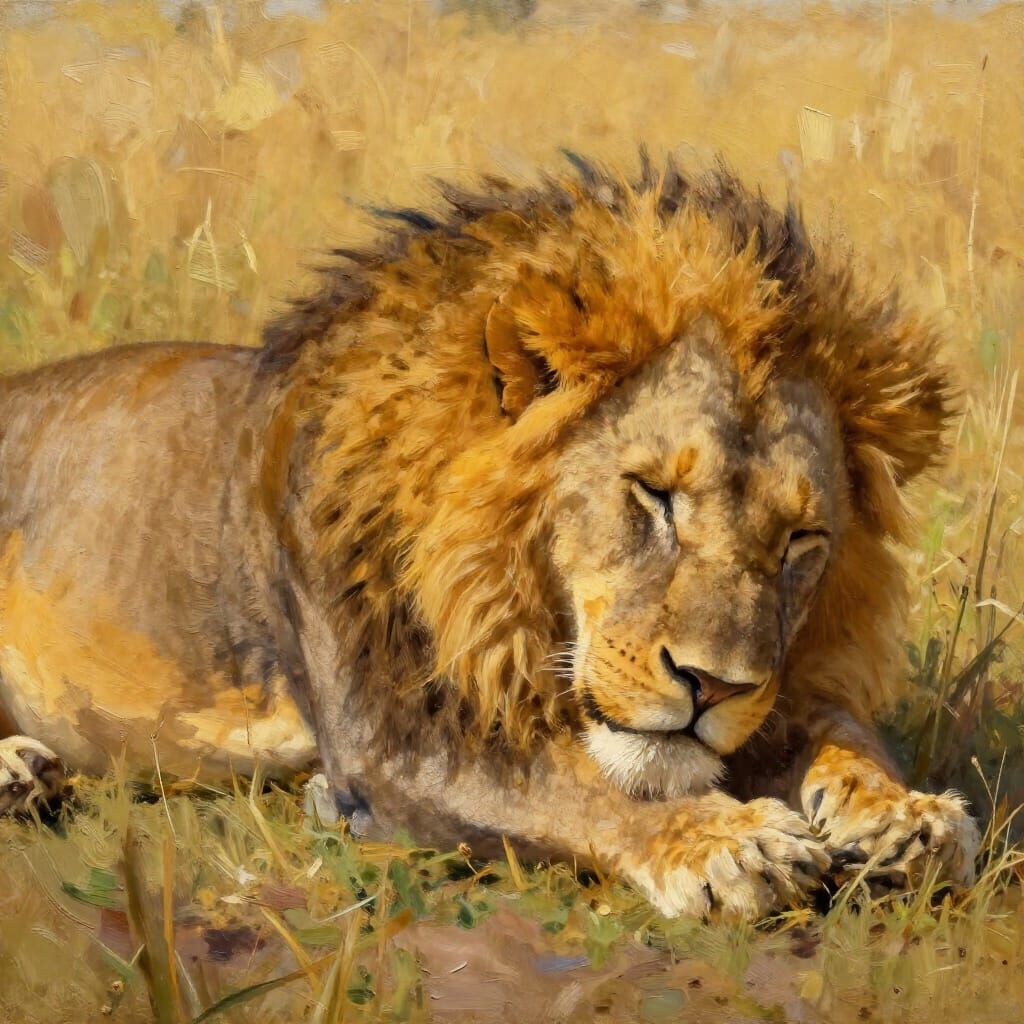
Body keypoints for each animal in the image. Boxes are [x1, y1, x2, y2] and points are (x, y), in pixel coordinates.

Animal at [0, 152, 979, 920]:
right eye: (653, 494)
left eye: (801, 540)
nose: (712, 686)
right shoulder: (389, 739)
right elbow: (582, 788)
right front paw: (731, 843)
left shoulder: (779, 689)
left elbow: (841, 732)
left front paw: (910, 817)